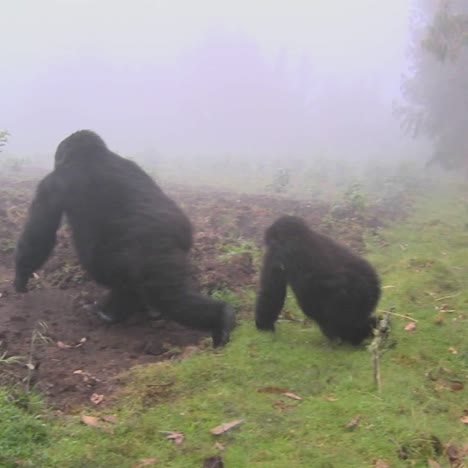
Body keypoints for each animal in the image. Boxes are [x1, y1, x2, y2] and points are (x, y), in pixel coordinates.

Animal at [15, 131, 236, 348]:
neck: (91, 154)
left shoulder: (52, 183)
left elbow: (39, 235)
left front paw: (20, 281)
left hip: (145, 257)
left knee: (159, 294)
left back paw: (110, 314)